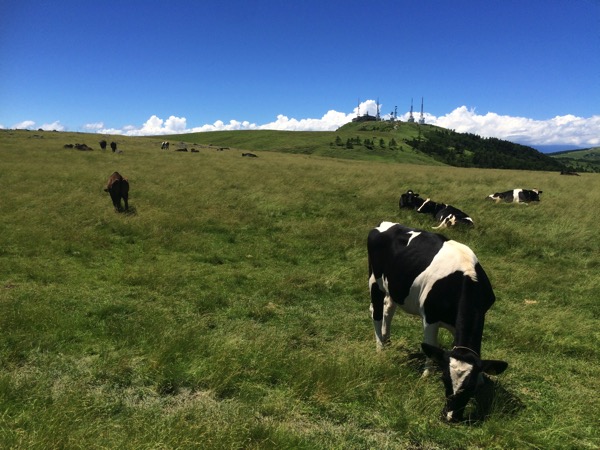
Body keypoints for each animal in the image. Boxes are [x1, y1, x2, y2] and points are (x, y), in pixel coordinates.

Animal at [368, 221, 508, 422]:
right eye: (444, 379)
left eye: (471, 387)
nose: (450, 416)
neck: (465, 278)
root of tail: (386, 224)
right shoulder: (430, 318)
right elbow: (430, 345)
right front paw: (426, 375)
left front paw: (482, 377)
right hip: (375, 279)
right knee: (376, 312)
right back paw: (380, 348)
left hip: (394, 286)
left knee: (388, 308)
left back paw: (387, 340)